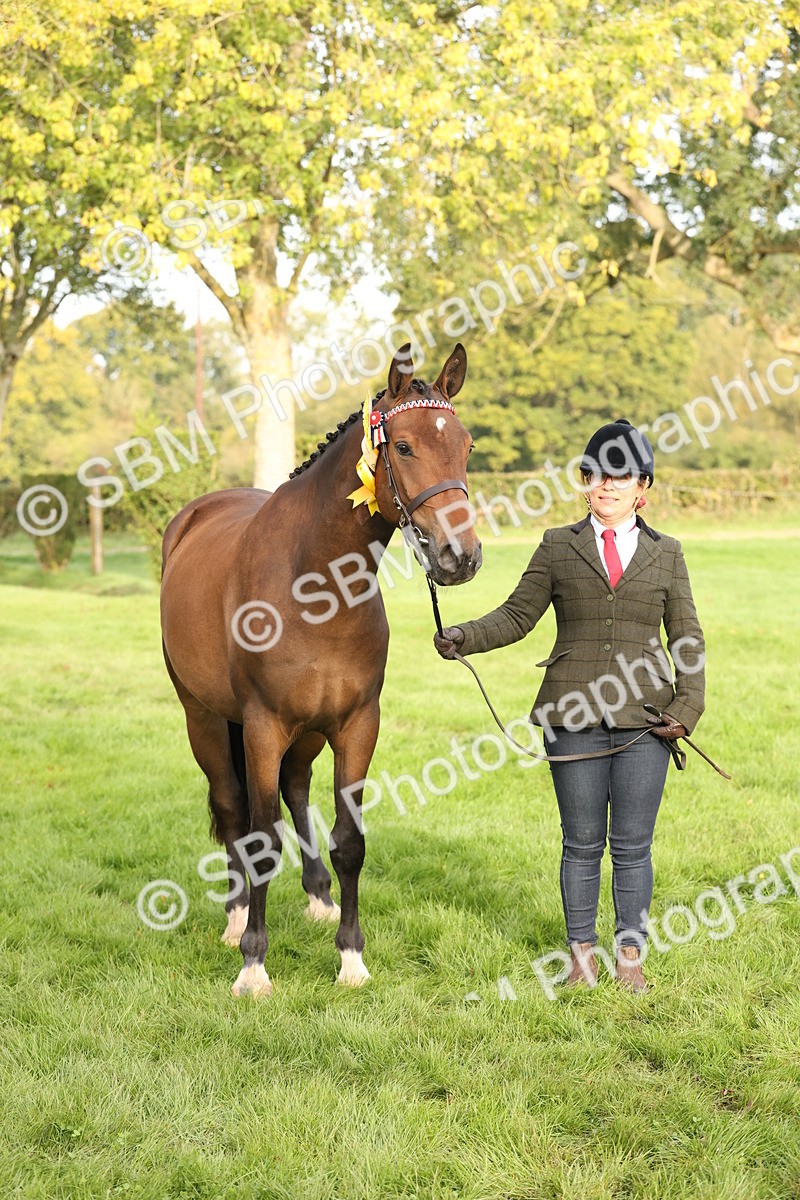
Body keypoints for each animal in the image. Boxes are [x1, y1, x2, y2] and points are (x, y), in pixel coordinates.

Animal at [160, 342, 482, 997]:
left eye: (465, 446)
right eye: (403, 446)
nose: (459, 557)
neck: (314, 584)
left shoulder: (356, 724)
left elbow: (349, 841)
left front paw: (351, 957)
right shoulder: (261, 726)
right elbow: (259, 839)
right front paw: (254, 966)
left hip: (307, 733)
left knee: (296, 790)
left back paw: (318, 899)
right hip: (203, 718)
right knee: (233, 809)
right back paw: (236, 920)